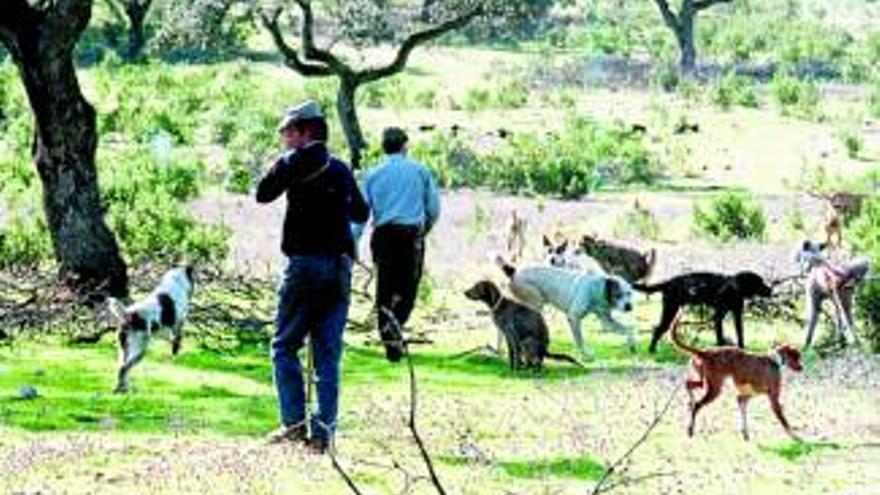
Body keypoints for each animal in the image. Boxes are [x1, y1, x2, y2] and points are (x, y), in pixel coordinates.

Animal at [106, 268, 194, 396]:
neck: (176, 282)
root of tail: (128, 315)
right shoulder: (178, 322)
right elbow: (177, 337)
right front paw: (175, 348)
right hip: (140, 348)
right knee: (124, 368)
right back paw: (122, 390)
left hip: (124, 348)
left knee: (122, 367)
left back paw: (123, 389)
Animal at [496, 258, 632, 358]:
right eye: (618, 295)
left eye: (629, 293)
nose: (629, 307)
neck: (599, 288)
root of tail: (514, 271)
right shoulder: (574, 318)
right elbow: (579, 339)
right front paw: (586, 354)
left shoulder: (607, 321)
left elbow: (629, 330)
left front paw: (632, 345)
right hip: (535, 304)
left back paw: (500, 350)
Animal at [632, 272, 768, 352]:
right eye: (760, 282)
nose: (770, 289)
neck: (735, 287)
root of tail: (669, 281)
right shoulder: (718, 317)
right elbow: (720, 336)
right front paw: (721, 348)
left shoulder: (736, 315)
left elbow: (740, 333)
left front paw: (742, 348)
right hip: (670, 310)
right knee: (658, 329)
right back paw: (652, 350)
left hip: (671, 311)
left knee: (658, 329)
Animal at [668, 310, 804, 442]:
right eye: (796, 357)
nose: (802, 368)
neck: (775, 360)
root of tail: (705, 352)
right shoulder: (773, 398)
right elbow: (783, 420)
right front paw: (795, 436)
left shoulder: (745, 395)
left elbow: (741, 406)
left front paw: (745, 433)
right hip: (714, 389)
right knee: (697, 405)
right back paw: (690, 428)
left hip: (705, 382)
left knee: (688, 385)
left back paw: (689, 402)